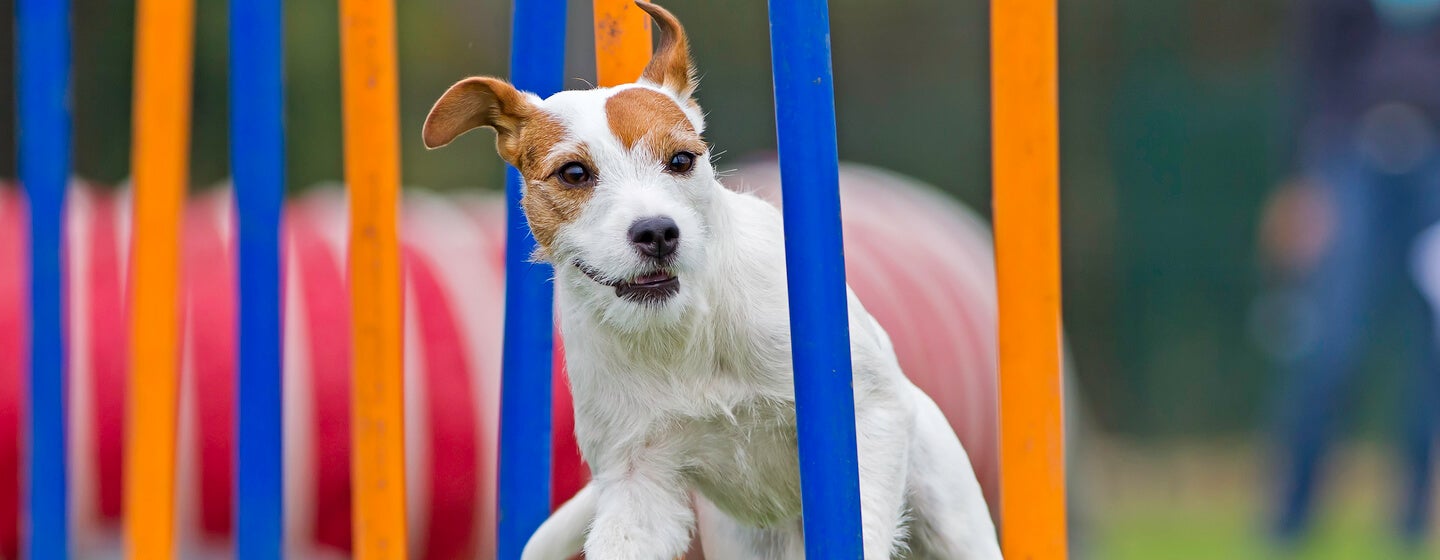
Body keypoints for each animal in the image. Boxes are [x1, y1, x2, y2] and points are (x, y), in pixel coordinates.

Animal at [420, 2, 996, 555]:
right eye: (574, 173)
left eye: (681, 159)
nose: (657, 231)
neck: (684, 332)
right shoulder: (638, 480)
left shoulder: (867, 411)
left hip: (951, 516)